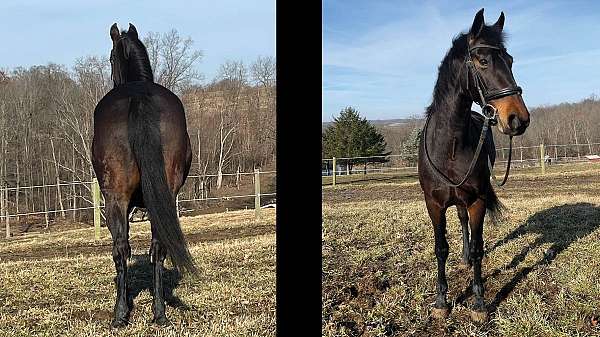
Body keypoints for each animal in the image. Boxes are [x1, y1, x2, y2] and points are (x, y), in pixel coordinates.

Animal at [90, 23, 196, 326]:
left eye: (110, 59)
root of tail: (138, 95)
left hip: (115, 197)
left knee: (120, 248)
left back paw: (119, 315)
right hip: (165, 196)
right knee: (158, 248)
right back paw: (160, 314)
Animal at [418, 9, 528, 322]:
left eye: (510, 60)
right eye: (483, 61)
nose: (518, 119)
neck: (451, 146)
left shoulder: (477, 200)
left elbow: (479, 248)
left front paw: (479, 303)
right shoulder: (434, 203)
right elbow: (441, 248)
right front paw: (441, 301)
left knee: (465, 222)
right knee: (461, 220)